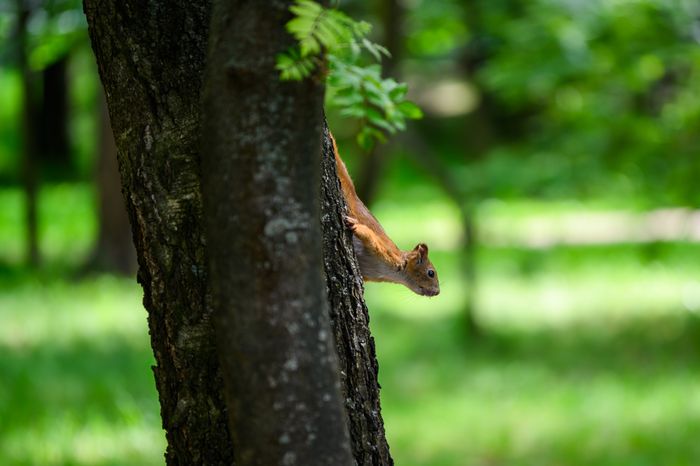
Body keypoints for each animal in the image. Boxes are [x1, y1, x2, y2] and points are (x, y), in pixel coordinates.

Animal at [330, 133, 440, 297]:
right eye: (431, 273)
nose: (438, 292)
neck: (394, 273)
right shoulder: (386, 252)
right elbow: (370, 236)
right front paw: (356, 227)